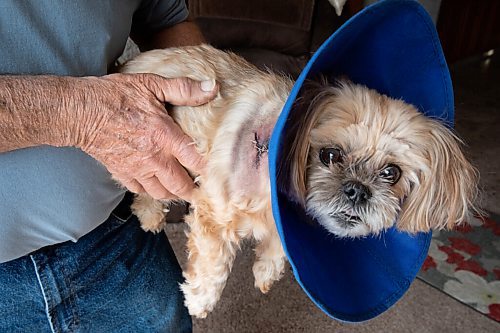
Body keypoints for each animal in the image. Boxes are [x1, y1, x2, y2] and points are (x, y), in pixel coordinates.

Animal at [119, 44, 478, 316]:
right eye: (329, 155)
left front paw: (265, 270)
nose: (358, 191)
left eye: (392, 173)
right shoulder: (213, 215)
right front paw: (199, 300)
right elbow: (214, 264)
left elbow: (278, 245)